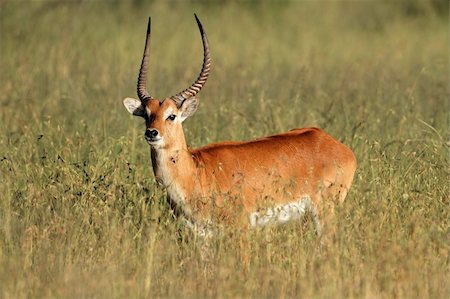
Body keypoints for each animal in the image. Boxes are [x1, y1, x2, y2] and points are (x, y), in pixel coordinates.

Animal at [122, 15, 356, 237]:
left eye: (171, 115)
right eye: (147, 115)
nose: (152, 133)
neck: (196, 172)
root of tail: (337, 145)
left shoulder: (241, 227)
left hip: (324, 212)